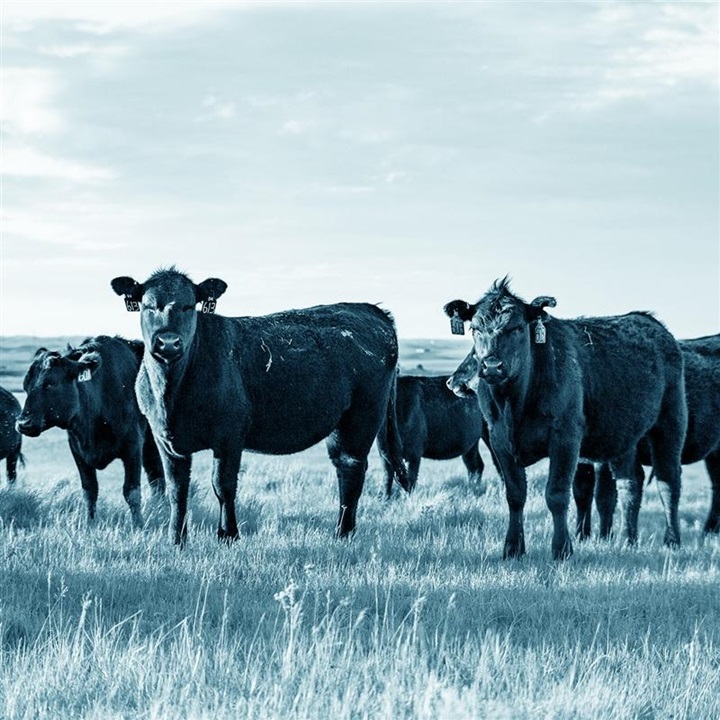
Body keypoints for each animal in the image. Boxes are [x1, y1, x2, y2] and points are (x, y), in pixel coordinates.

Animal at [16, 334, 165, 524]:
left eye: (51, 383)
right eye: (25, 386)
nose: (23, 423)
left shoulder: (133, 446)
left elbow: (131, 491)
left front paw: (138, 525)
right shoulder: (78, 451)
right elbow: (89, 491)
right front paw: (89, 524)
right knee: (156, 476)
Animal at [109, 268, 408, 544]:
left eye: (188, 305)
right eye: (148, 305)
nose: (168, 342)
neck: (172, 394)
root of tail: (370, 309)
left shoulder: (229, 436)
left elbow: (224, 485)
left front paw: (228, 535)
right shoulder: (165, 440)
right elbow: (176, 489)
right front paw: (177, 539)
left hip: (362, 417)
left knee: (351, 467)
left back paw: (343, 533)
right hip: (339, 425)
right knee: (342, 465)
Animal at [444, 278, 688, 560]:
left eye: (517, 327)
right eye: (474, 329)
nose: (492, 366)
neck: (514, 404)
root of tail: (651, 322)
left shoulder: (565, 438)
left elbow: (557, 494)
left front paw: (562, 549)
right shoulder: (499, 440)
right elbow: (515, 494)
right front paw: (513, 548)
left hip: (670, 423)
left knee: (668, 482)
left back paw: (672, 541)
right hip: (624, 436)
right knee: (630, 484)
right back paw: (629, 541)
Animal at [572, 336, 720, 540]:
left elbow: (605, 494)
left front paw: (605, 536)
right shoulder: (583, 458)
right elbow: (582, 491)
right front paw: (582, 535)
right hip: (714, 455)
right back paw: (709, 532)